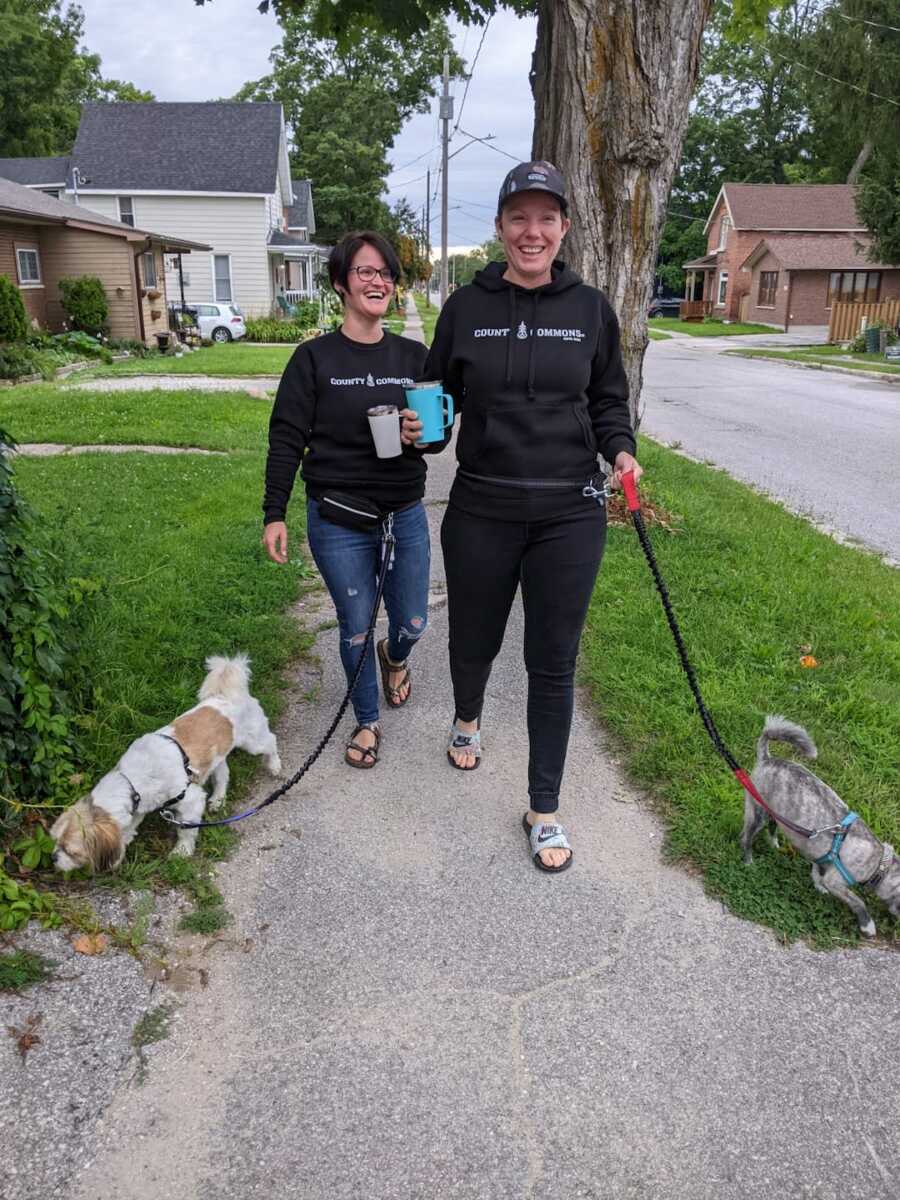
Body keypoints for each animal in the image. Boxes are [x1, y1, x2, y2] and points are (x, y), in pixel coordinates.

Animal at [51, 657, 282, 873]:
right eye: (55, 841)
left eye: (71, 851)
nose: (53, 857)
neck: (133, 780)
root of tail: (226, 695)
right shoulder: (139, 807)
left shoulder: (190, 800)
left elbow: (186, 830)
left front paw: (182, 851)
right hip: (217, 756)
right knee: (223, 774)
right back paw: (218, 799)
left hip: (253, 742)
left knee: (271, 741)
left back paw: (275, 765)